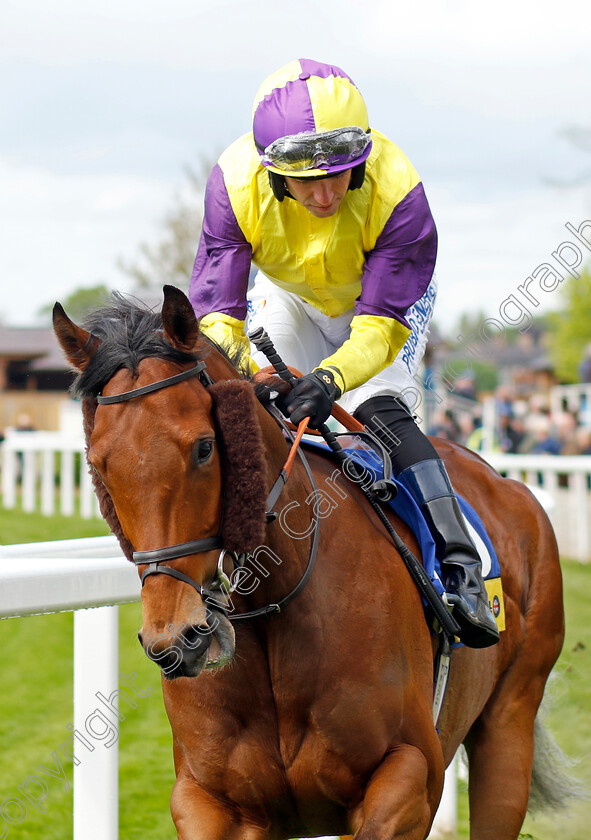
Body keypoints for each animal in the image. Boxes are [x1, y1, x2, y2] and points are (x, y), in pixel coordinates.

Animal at [53, 286, 572, 836]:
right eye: (99, 464)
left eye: (204, 448)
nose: (177, 640)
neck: (274, 606)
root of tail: (510, 485)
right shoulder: (206, 797)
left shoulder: (411, 775)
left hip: (509, 723)